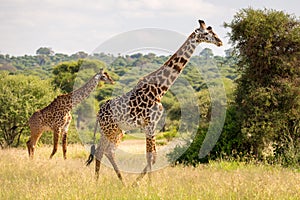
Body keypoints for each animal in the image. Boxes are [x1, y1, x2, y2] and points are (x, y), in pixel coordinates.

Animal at [86, 19, 223, 185]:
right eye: (207, 33)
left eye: (213, 31)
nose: (220, 41)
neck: (160, 90)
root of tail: (98, 113)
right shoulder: (150, 123)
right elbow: (150, 156)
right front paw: (149, 185)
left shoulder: (152, 124)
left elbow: (153, 156)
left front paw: (137, 183)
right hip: (110, 130)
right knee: (103, 151)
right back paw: (109, 182)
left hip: (115, 130)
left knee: (104, 151)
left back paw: (113, 182)